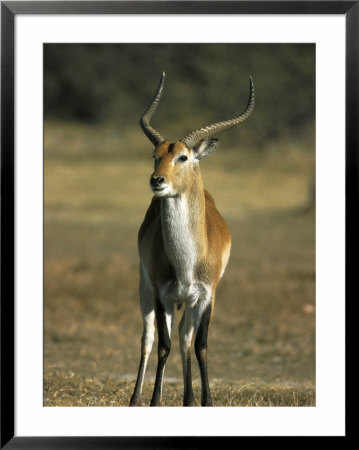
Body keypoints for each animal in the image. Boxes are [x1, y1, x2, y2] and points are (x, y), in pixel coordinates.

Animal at [131, 74, 255, 408]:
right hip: (146, 288)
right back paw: (136, 398)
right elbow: (163, 345)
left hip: (188, 300)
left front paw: (206, 401)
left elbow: (200, 345)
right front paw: (154, 402)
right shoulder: (162, 294)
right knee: (148, 338)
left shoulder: (207, 295)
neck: (187, 260)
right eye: (156, 156)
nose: (157, 180)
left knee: (185, 336)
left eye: (182, 156)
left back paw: (188, 398)